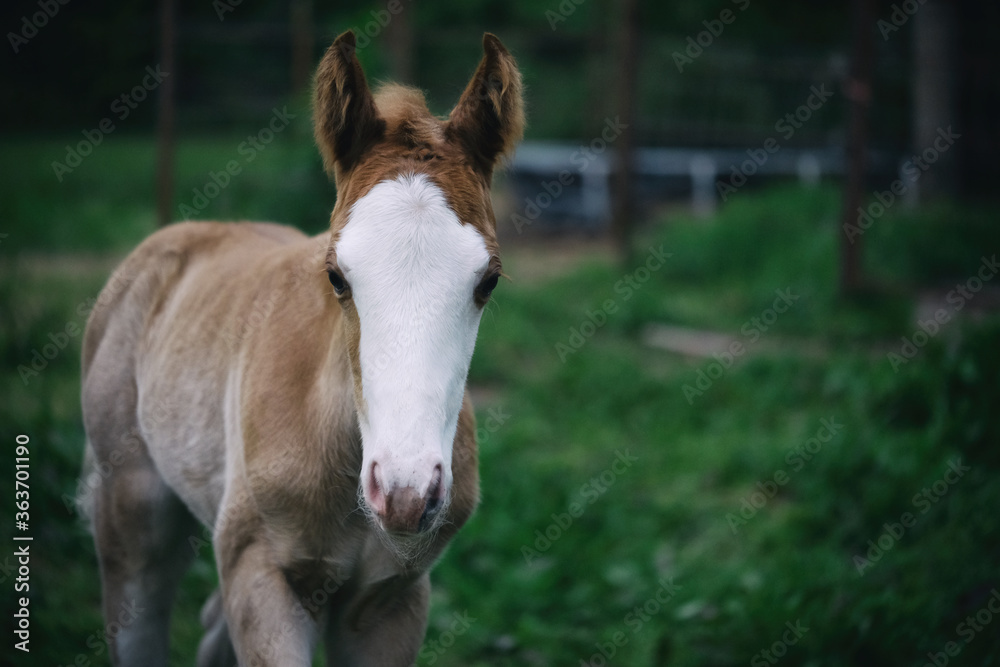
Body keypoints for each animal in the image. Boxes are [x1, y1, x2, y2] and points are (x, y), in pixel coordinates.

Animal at [78, 30, 524, 666]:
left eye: (487, 281)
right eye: (336, 276)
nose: (405, 493)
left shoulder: (391, 600)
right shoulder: (263, 578)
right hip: (132, 512)